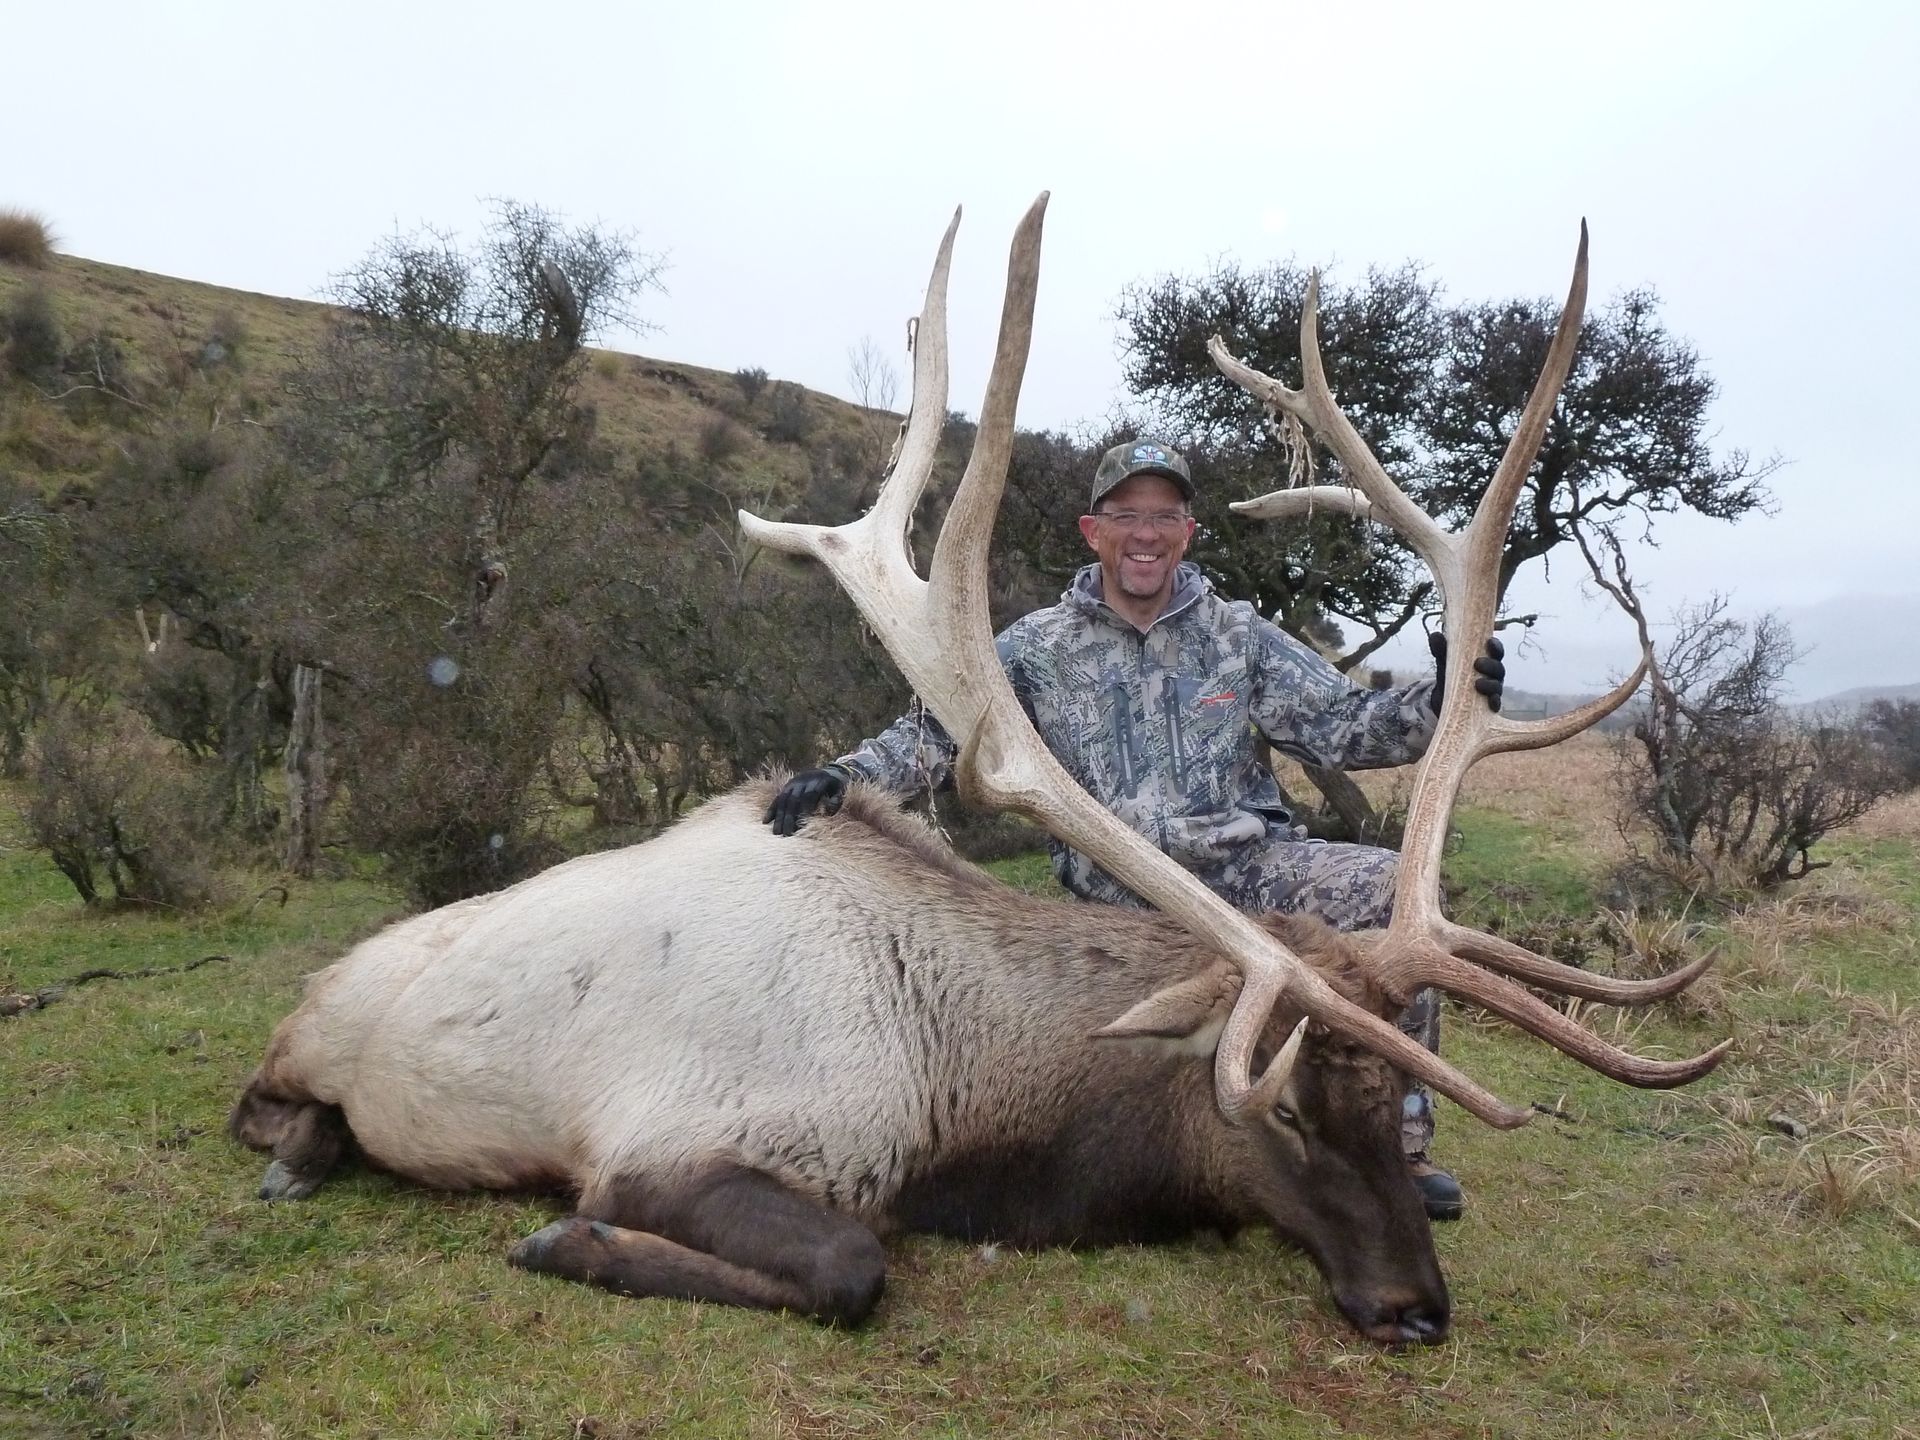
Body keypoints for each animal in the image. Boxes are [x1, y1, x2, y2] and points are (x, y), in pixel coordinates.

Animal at [230, 196, 1727, 1345]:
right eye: (1289, 1111)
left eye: (1386, 1119)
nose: (1419, 1309)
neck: (974, 1113)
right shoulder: (676, 1142)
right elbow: (849, 1266)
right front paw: (559, 1245)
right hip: (316, 1036)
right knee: (270, 1103)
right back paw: (302, 1157)